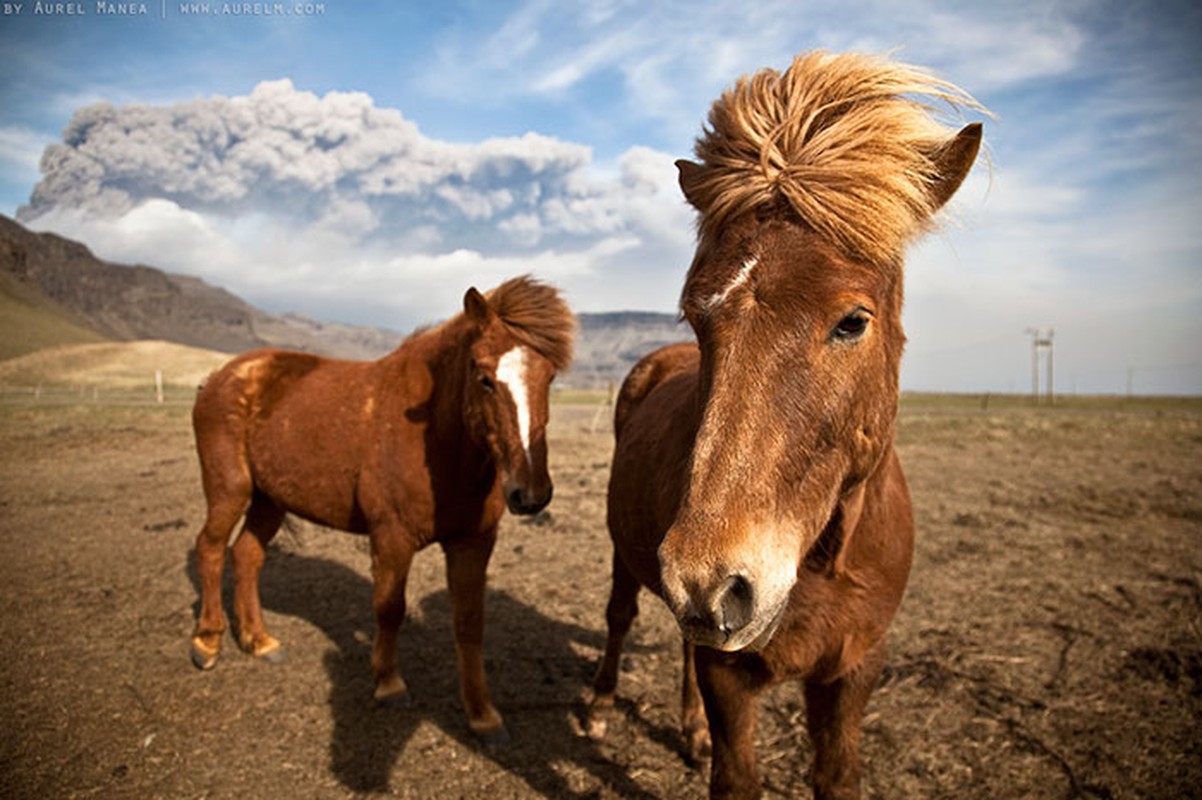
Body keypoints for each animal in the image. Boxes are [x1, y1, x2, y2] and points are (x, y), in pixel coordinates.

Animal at [191, 273, 572, 739]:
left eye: (549, 377)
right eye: (484, 377)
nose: (530, 493)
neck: (435, 441)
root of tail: (219, 376)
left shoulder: (472, 543)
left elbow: (469, 623)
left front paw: (482, 714)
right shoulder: (391, 537)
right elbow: (390, 610)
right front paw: (389, 684)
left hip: (269, 499)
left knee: (246, 555)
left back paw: (259, 642)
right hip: (230, 490)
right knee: (211, 549)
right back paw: (207, 642)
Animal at [584, 52, 985, 792]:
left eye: (853, 321)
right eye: (697, 315)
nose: (710, 582)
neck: (824, 560)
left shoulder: (854, 672)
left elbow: (837, 776)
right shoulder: (731, 677)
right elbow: (737, 777)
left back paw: (689, 729)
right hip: (628, 554)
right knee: (620, 614)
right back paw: (598, 709)